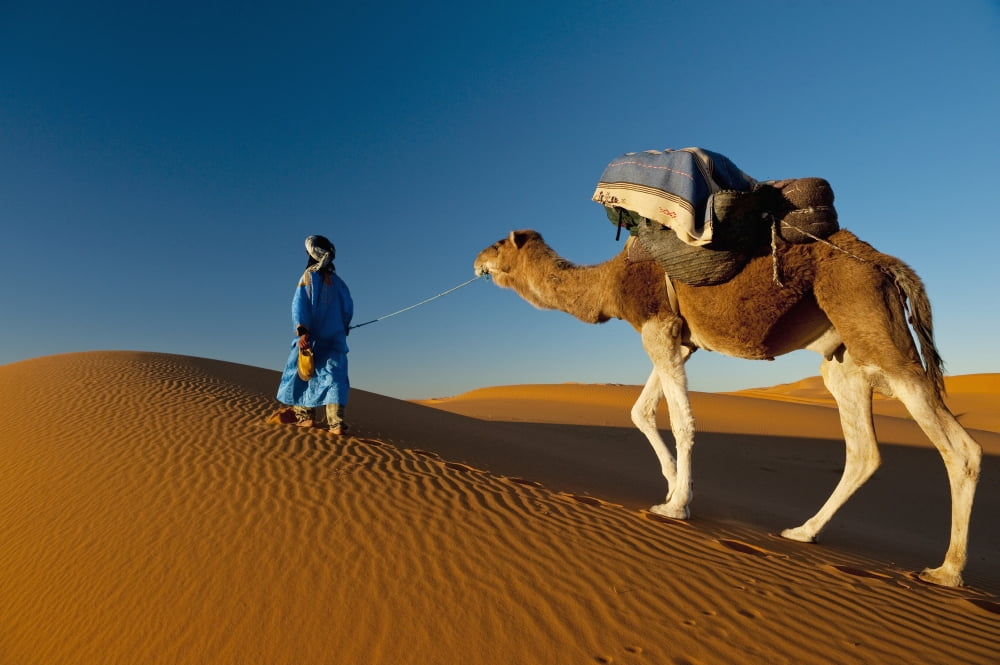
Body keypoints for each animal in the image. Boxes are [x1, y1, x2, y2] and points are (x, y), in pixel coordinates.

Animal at [473, 228, 982, 587]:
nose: (477, 261)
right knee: (864, 450)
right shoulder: (681, 339)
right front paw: (671, 485)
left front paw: (676, 506)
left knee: (960, 449)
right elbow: (640, 411)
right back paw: (803, 532)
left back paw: (946, 571)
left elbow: (682, 420)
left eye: (497, 243)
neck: (610, 282)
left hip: (875, 329)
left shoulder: (656, 324)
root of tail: (887, 264)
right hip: (845, 358)